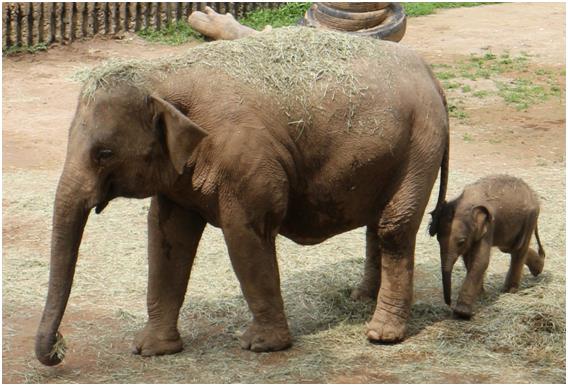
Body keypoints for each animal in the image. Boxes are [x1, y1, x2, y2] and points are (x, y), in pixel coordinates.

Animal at [37, 27, 450, 364]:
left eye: (104, 153)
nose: (59, 349)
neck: (164, 73)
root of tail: (430, 73)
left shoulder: (248, 161)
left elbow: (245, 235)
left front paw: (261, 345)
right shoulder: (178, 177)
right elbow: (166, 238)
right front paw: (150, 350)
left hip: (420, 146)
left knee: (394, 228)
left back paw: (382, 335)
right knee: (376, 224)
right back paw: (360, 297)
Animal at [430, 176, 544, 318]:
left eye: (461, 242)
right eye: (438, 239)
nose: (449, 304)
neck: (465, 202)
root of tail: (533, 193)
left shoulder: (488, 227)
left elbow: (480, 261)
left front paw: (461, 313)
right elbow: (470, 259)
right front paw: (480, 295)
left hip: (530, 218)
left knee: (518, 249)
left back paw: (510, 290)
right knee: (510, 248)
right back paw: (538, 269)